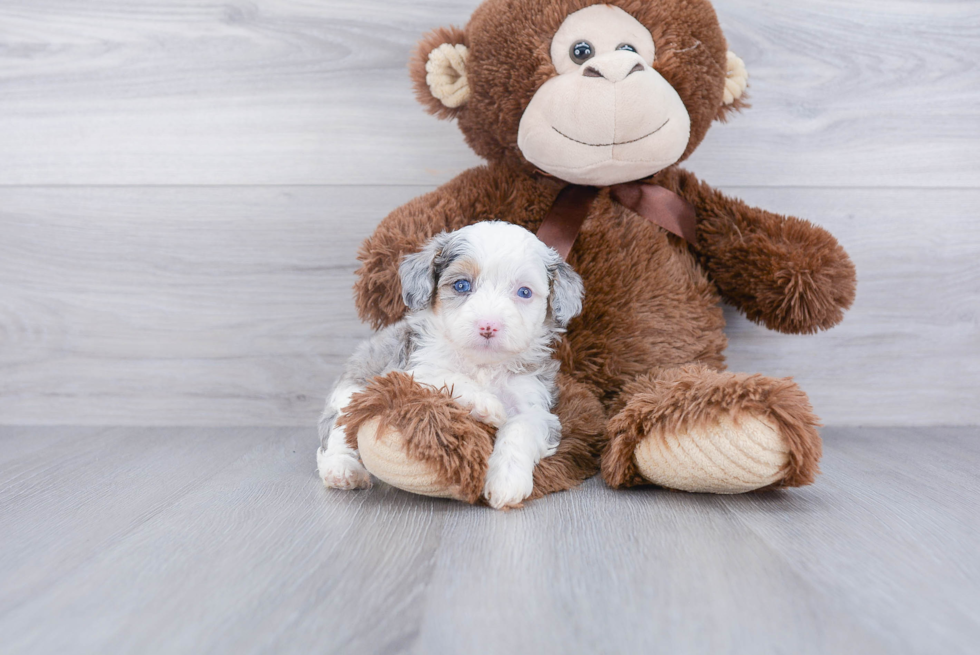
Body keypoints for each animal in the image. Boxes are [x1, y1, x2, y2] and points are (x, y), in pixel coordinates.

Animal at [318, 223, 584, 510]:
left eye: (524, 292)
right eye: (461, 285)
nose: (488, 325)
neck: (482, 364)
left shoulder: (534, 404)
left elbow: (521, 429)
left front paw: (506, 482)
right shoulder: (409, 371)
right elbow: (447, 377)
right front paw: (486, 404)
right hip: (350, 393)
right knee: (337, 434)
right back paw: (343, 470)